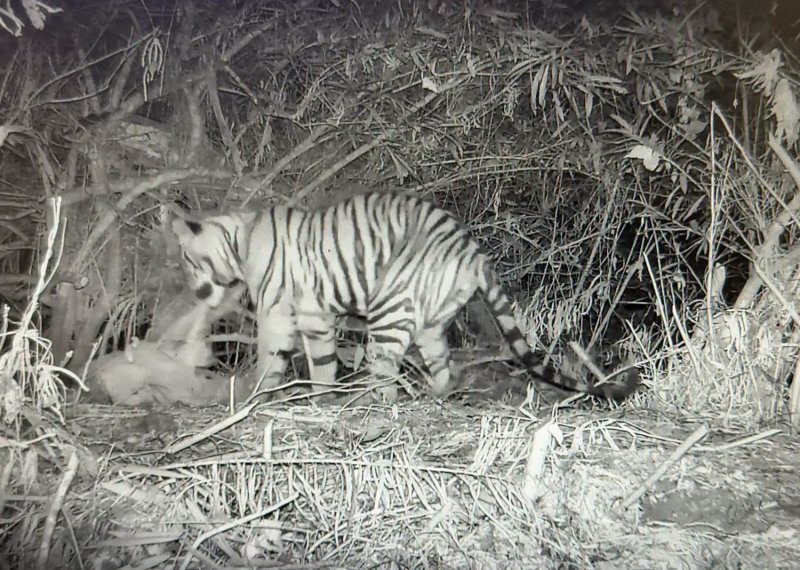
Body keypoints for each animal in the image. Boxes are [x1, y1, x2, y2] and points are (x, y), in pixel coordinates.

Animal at [170, 192, 639, 401]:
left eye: (189, 261)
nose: (195, 290)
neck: (242, 242)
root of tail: (472, 250)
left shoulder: (283, 315)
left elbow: (279, 363)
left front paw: (259, 399)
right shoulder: (309, 318)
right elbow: (315, 364)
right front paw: (311, 400)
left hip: (389, 309)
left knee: (384, 375)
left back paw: (372, 407)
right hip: (431, 322)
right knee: (446, 369)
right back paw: (433, 399)